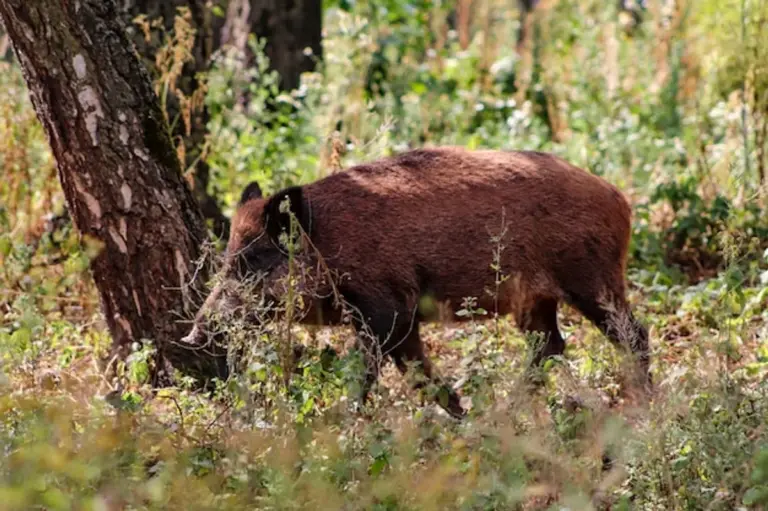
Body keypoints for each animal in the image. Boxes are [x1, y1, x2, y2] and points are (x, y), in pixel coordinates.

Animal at [182, 147, 650, 418]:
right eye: (226, 259)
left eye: (254, 260)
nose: (193, 334)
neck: (331, 244)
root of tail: (620, 199)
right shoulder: (396, 322)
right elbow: (417, 373)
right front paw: (462, 415)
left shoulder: (387, 310)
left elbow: (367, 373)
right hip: (535, 301)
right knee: (549, 345)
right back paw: (505, 412)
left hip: (592, 280)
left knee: (634, 335)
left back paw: (643, 408)